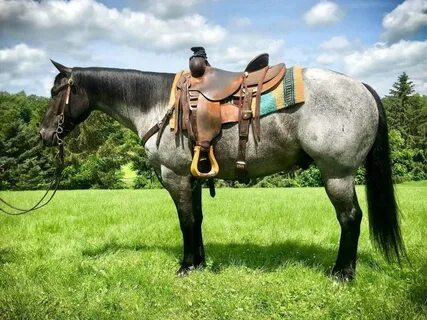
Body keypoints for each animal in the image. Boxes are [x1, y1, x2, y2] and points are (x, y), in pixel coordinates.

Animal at [39, 60, 404, 280]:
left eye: (57, 92)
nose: (43, 134)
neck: (158, 105)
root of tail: (362, 86)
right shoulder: (193, 178)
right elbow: (197, 219)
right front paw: (199, 263)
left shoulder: (174, 176)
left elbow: (186, 221)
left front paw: (186, 266)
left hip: (336, 174)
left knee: (350, 218)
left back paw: (342, 273)